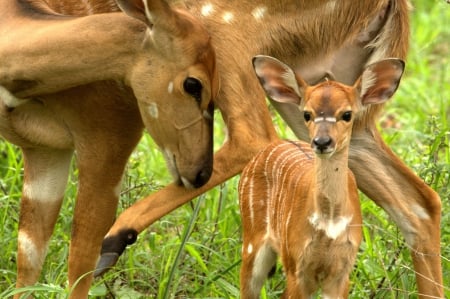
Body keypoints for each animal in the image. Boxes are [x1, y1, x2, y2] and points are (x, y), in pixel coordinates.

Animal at [0, 0, 218, 298]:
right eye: (193, 84)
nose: (202, 172)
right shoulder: (49, 148)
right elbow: (36, 255)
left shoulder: (77, 145)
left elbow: (61, 258)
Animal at [239, 55, 404, 298]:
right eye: (307, 114)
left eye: (347, 114)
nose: (322, 142)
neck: (330, 224)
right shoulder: (296, 267)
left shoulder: (341, 272)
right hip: (252, 242)